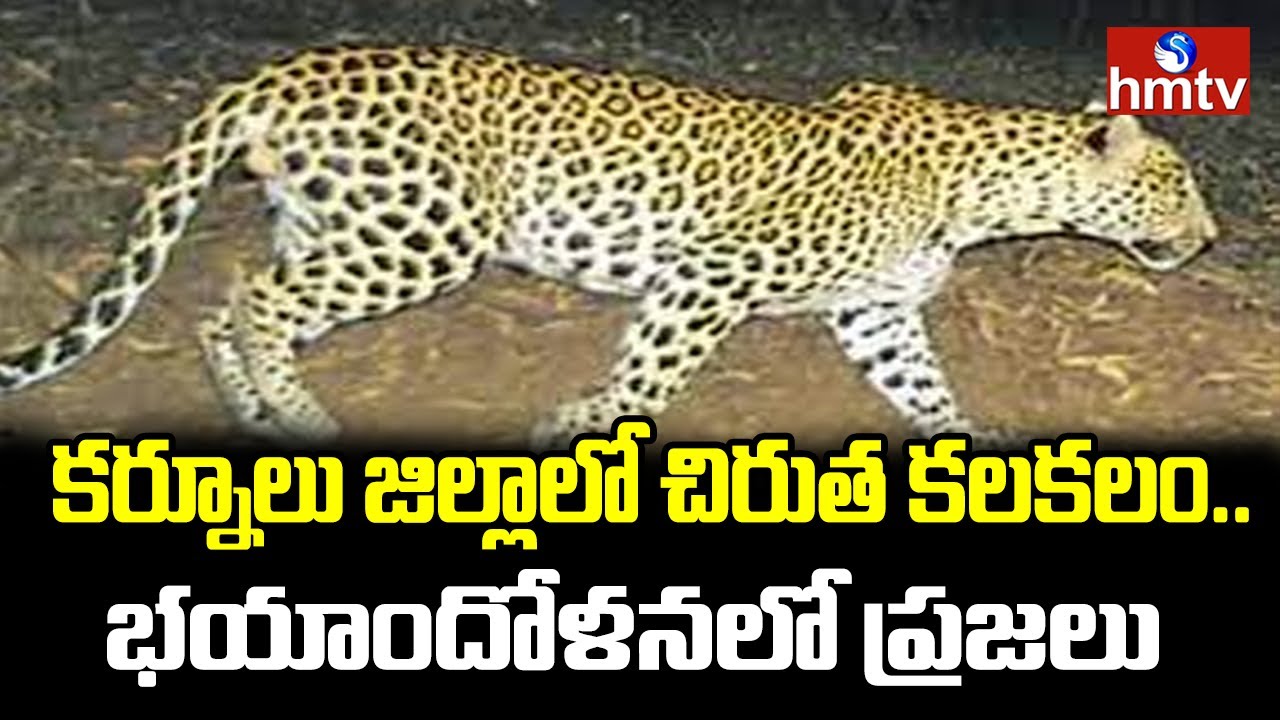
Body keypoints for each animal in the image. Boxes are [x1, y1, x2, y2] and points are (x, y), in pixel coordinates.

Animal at [0, 44, 1219, 449]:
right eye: (1177, 181)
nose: (1209, 239)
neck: (980, 191)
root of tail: (287, 69)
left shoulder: (870, 311)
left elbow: (923, 386)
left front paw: (969, 443)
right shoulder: (710, 278)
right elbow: (652, 377)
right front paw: (586, 421)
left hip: (333, 221)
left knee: (233, 293)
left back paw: (255, 413)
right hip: (422, 235)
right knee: (258, 301)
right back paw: (302, 415)